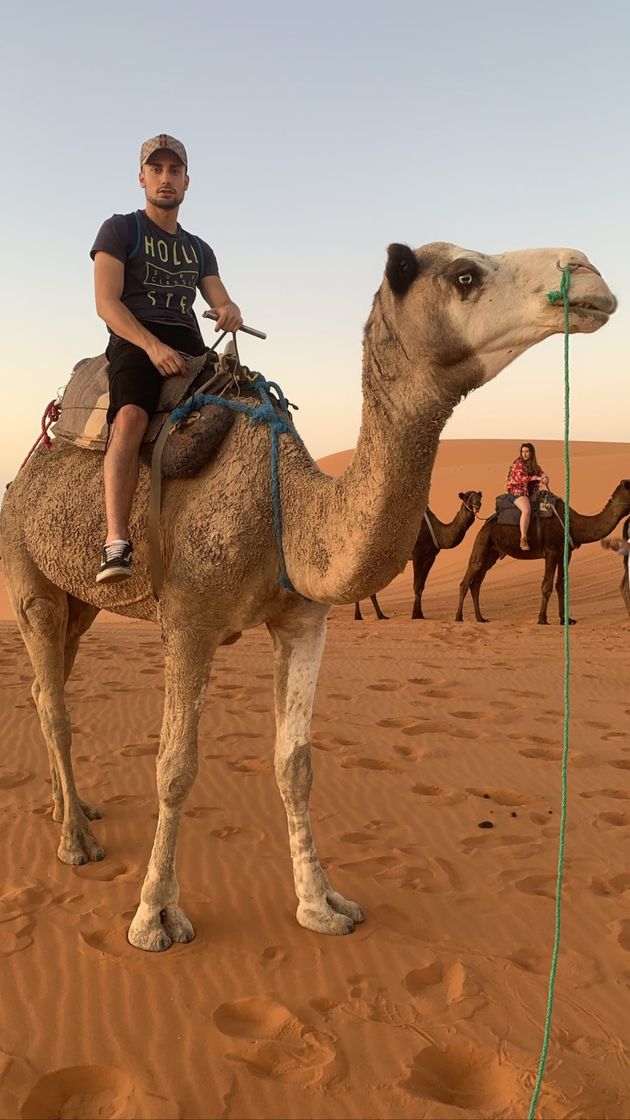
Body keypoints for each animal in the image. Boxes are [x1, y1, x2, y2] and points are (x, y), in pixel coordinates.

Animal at [354, 490, 479, 622]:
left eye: (479, 496)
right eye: (466, 497)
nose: (478, 503)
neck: (437, 532)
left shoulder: (430, 557)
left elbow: (421, 586)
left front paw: (420, 614)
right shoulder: (417, 554)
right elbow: (416, 585)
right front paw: (415, 614)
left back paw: (378, 615)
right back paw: (361, 615)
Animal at [452, 477, 627, 627]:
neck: (573, 524)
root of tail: (485, 524)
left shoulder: (565, 553)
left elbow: (560, 585)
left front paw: (565, 619)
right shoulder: (551, 551)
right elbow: (547, 586)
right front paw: (542, 619)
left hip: (492, 553)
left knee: (476, 583)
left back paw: (480, 618)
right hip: (482, 542)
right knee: (467, 580)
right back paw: (459, 617)